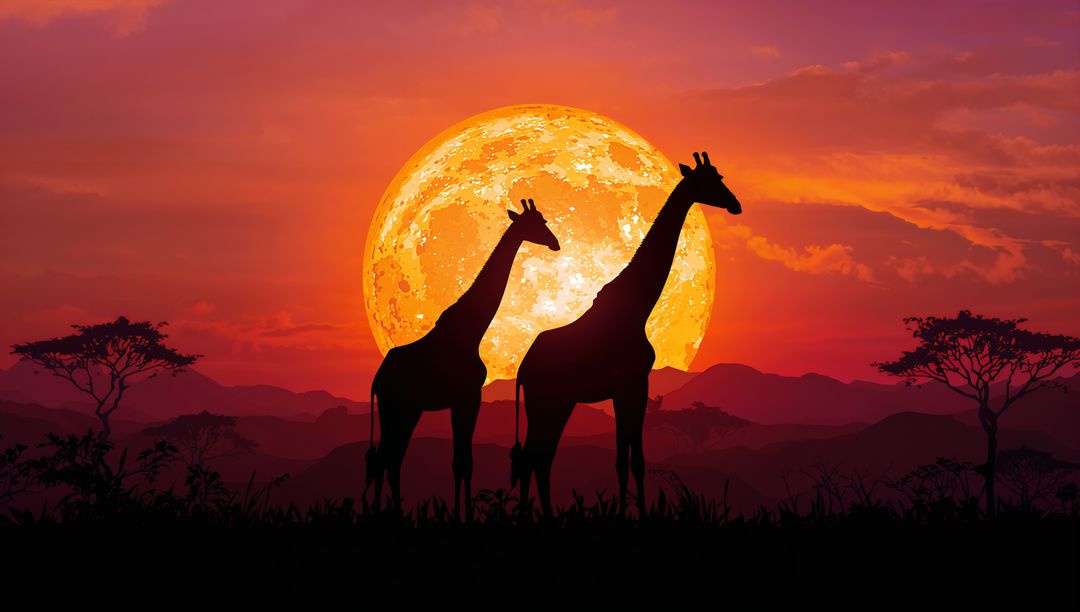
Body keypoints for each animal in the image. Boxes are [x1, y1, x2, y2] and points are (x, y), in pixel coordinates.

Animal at [368, 198, 560, 521]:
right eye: (537, 223)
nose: (555, 243)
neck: (472, 329)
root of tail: (377, 381)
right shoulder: (469, 397)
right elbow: (464, 462)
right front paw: (465, 517)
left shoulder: (462, 400)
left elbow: (460, 461)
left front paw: (461, 514)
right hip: (395, 407)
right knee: (386, 458)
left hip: (406, 410)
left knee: (389, 458)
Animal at [512, 152, 741, 516]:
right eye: (711, 181)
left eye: (720, 176)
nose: (735, 204)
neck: (638, 309)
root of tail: (523, 368)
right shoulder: (632, 385)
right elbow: (628, 461)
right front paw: (633, 513)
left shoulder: (631, 388)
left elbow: (631, 460)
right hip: (545, 402)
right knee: (533, 458)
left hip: (557, 404)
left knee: (539, 458)